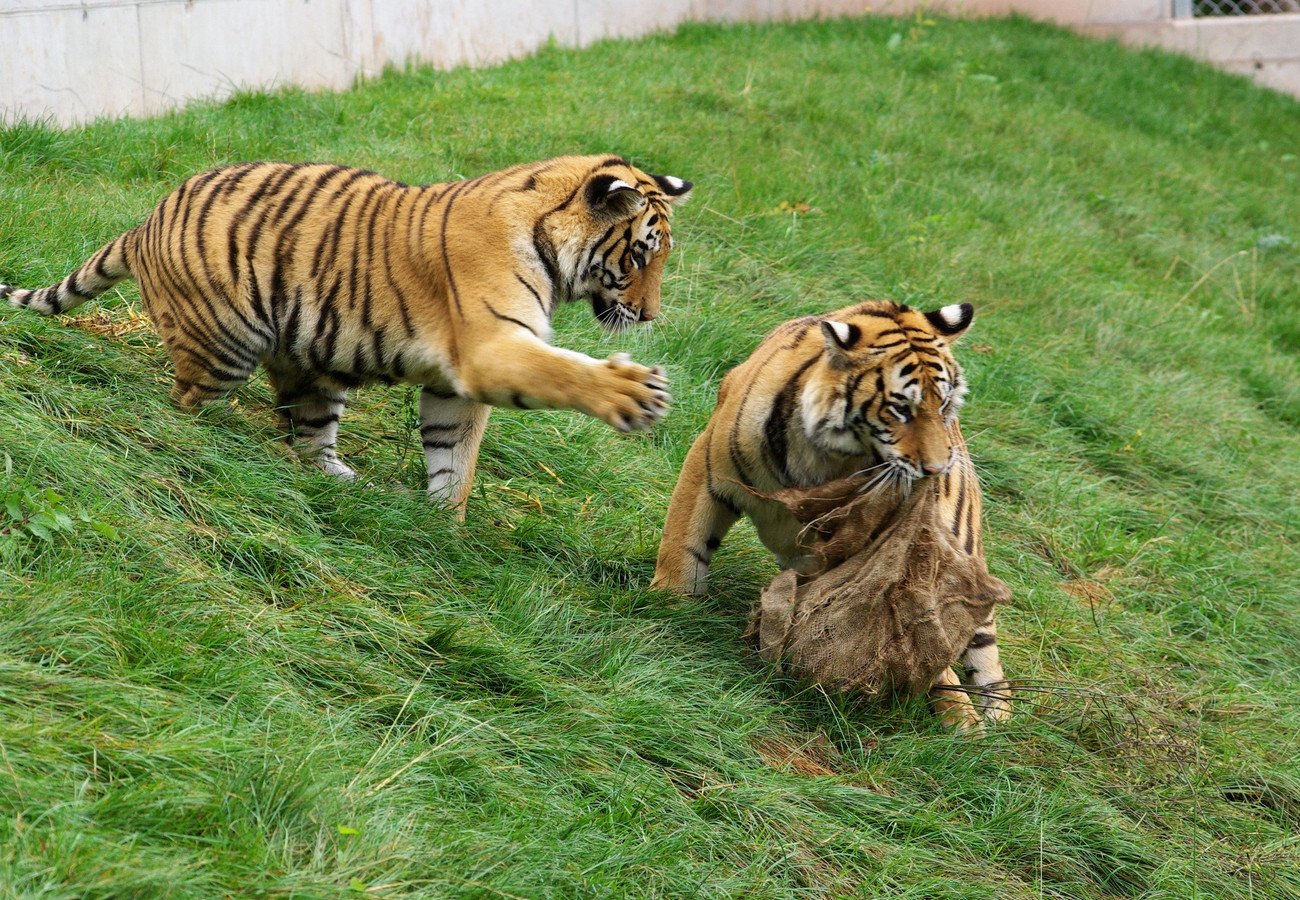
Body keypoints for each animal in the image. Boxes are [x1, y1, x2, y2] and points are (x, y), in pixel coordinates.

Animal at [2, 155, 692, 518]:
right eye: (640, 255)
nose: (651, 316)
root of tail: (146, 222)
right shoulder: (492, 349)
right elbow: (562, 370)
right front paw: (634, 393)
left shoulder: (457, 382)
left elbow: (455, 456)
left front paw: (445, 526)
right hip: (225, 343)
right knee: (188, 405)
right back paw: (215, 449)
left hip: (312, 359)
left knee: (308, 432)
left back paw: (341, 484)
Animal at [652, 300, 1010, 729]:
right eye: (900, 409)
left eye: (942, 405)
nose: (937, 469)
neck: (819, 452)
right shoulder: (707, 470)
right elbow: (683, 546)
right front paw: (668, 608)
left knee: (979, 655)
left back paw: (981, 724)